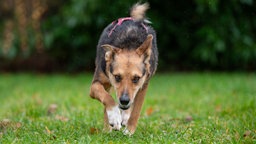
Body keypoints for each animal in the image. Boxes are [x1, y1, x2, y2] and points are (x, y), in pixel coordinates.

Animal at [90, 2, 158, 136]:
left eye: (136, 78)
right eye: (117, 77)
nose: (124, 101)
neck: (129, 44)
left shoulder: (143, 85)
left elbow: (136, 110)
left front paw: (129, 130)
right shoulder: (97, 83)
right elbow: (106, 96)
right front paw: (114, 116)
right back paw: (108, 127)